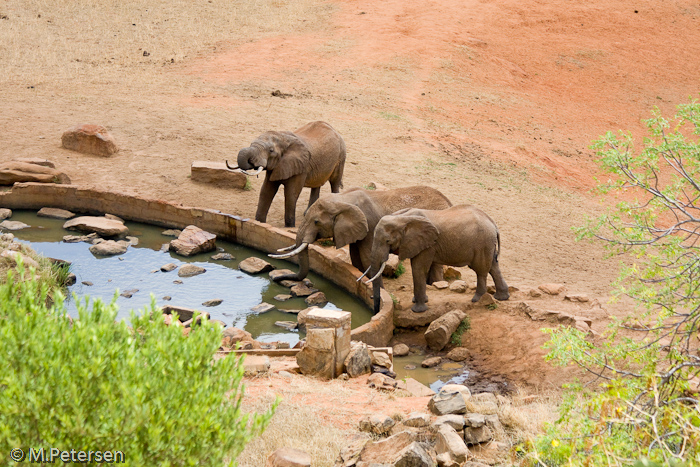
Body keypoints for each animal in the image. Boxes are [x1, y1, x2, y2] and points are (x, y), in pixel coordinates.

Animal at [266, 185, 452, 288]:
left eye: (316, 222)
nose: (274, 277)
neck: (342, 199)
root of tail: (448, 202)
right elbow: (355, 258)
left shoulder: (370, 225)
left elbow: (365, 256)